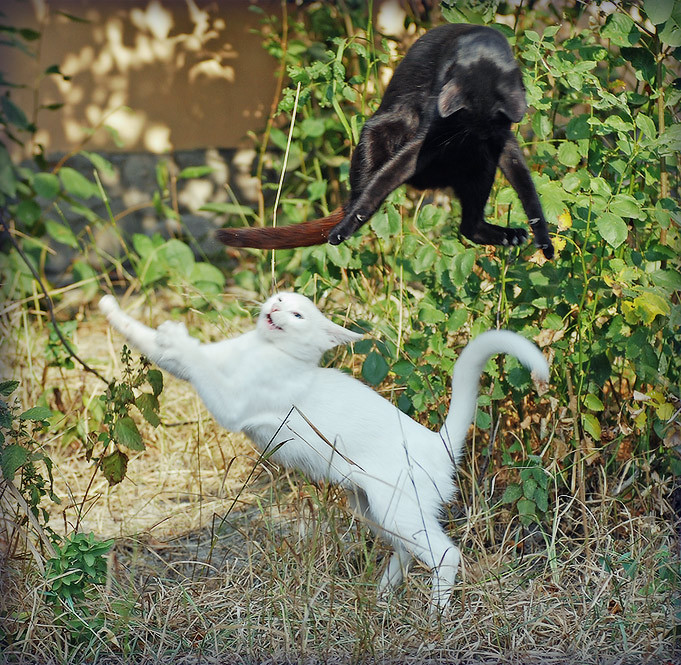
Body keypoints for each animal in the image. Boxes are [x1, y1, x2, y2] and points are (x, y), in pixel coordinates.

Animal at [99, 292, 548, 612]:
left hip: (395, 509)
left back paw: (434, 618)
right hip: (375, 510)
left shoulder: (230, 404)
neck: (263, 350)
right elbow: (150, 340)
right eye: (280, 298)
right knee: (409, 549)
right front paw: (112, 308)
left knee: (446, 554)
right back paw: (381, 597)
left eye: (298, 315)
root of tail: (435, 441)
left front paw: (175, 335)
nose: (276, 307)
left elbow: (195, 360)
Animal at [216, 23, 552, 258]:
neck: (484, 54)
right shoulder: (432, 133)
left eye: (487, 127)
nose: (472, 137)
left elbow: (524, 183)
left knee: (469, 224)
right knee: (367, 190)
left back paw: (503, 234)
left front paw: (544, 240)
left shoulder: (501, 140)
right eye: (460, 123)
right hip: (377, 134)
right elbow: (394, 171)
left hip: (477, 165)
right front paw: (346, 227)